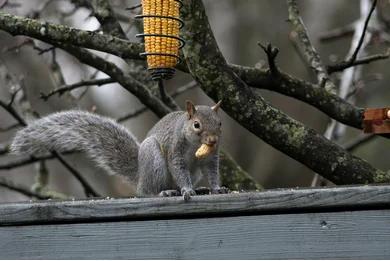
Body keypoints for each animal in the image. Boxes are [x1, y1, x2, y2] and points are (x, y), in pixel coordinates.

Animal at [10, 99, 227, 199]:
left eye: (220, 123)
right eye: (197, 125)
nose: (213, 140)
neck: (195, 146)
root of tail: (140, 176)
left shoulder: (211, 158)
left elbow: (213, 172)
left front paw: (217, 188)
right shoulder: (175, 151)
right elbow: (179, 169)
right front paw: (187, 190)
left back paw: (199, 188)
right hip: (153, 160)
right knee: (146, 192)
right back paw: (163, 192)